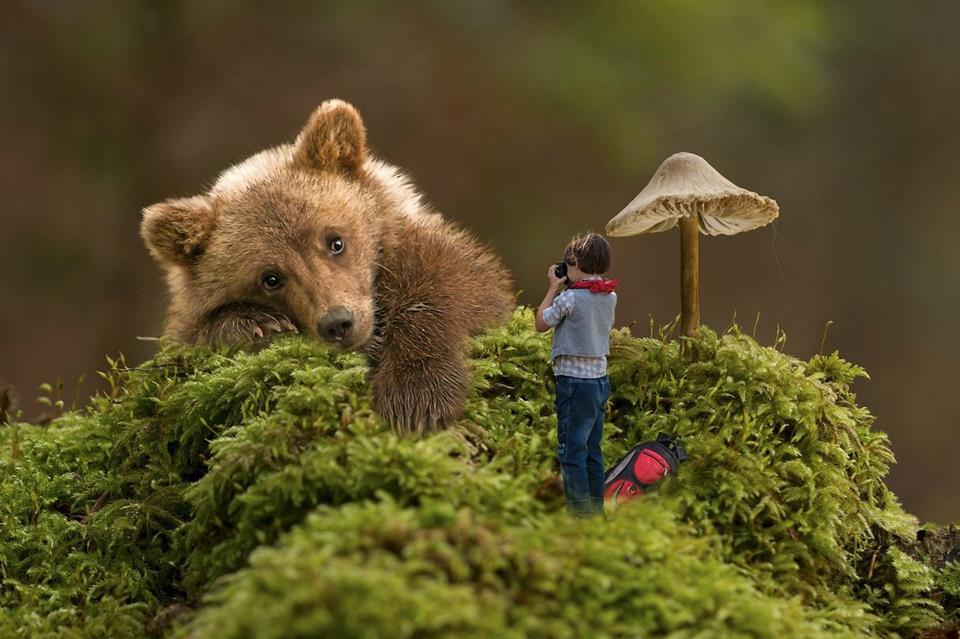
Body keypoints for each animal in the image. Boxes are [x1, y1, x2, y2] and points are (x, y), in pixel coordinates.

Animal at [140, 99, 514, 433]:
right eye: (270, 278)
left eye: (336, 241)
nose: (338, 322)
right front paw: (257, 325)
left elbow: (452, 289)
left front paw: (417, 397)